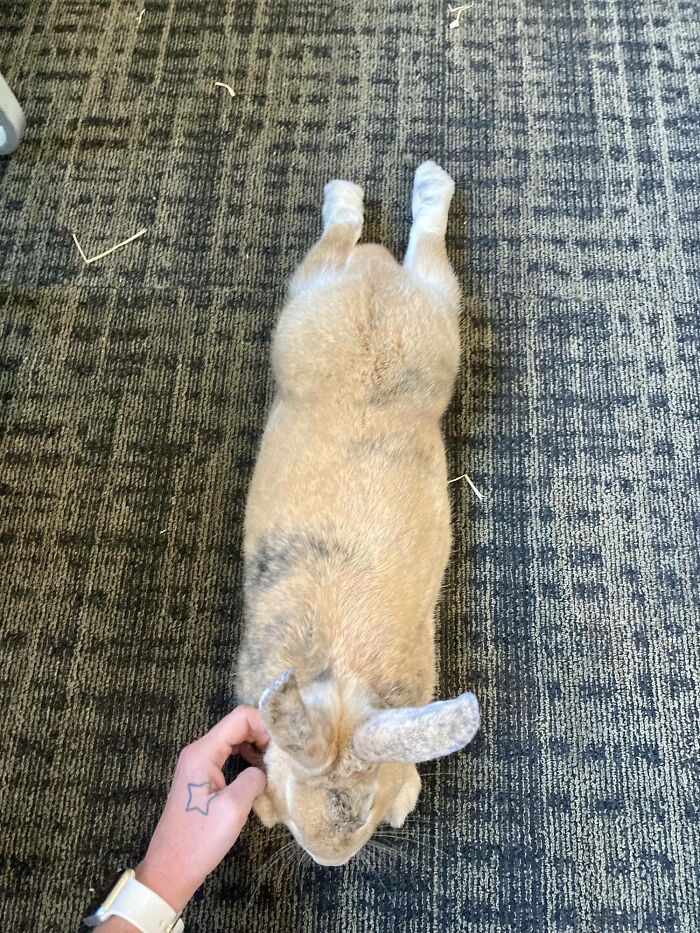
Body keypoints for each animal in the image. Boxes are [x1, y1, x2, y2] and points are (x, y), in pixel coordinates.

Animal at [234, 160, 480, 866]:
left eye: (367, 814)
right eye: (296, 816)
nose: (332, 861)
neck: (340, 686)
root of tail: (375, 272)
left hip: (389, 307)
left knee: (374, 243)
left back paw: (385, 190)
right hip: (371, 307)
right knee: (371, 247)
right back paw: (370, 195)